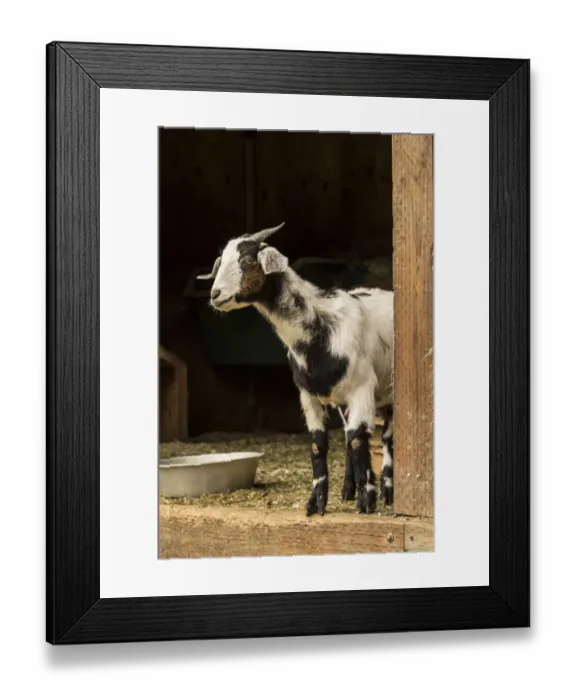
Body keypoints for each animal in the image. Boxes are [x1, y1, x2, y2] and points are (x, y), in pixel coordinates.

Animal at [197, 222, 394, 516]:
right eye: (220, 263)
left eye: (247, 261)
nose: (215, 295)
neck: (320, 328)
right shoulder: (308, 396)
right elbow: (318, 444)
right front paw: (317, 503)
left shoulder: (361, 388)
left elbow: (358, 440)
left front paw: (367, 501)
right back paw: (349, 489)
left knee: (385, 438)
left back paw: (387, 492)